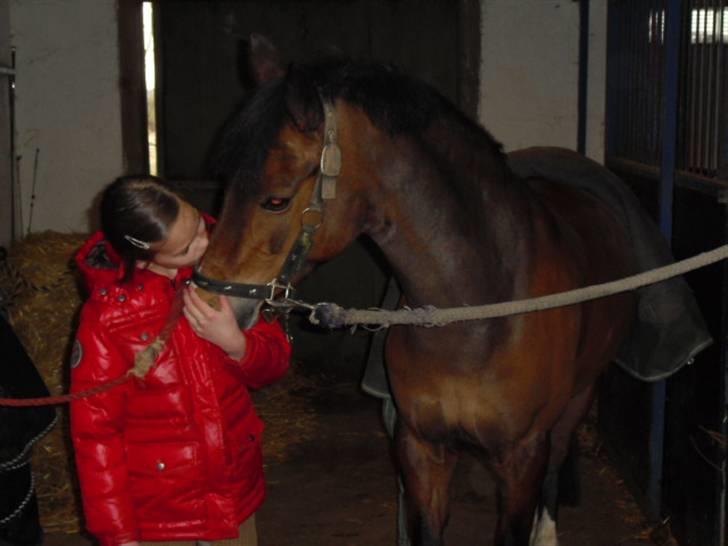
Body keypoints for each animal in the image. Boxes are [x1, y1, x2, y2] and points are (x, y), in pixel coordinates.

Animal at [196, 35, 636, 544]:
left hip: (577, 401)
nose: (203, 303)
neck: (475, 315)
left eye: (276, 200)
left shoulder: (522, 457)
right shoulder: (422, 449)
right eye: (225, 185)